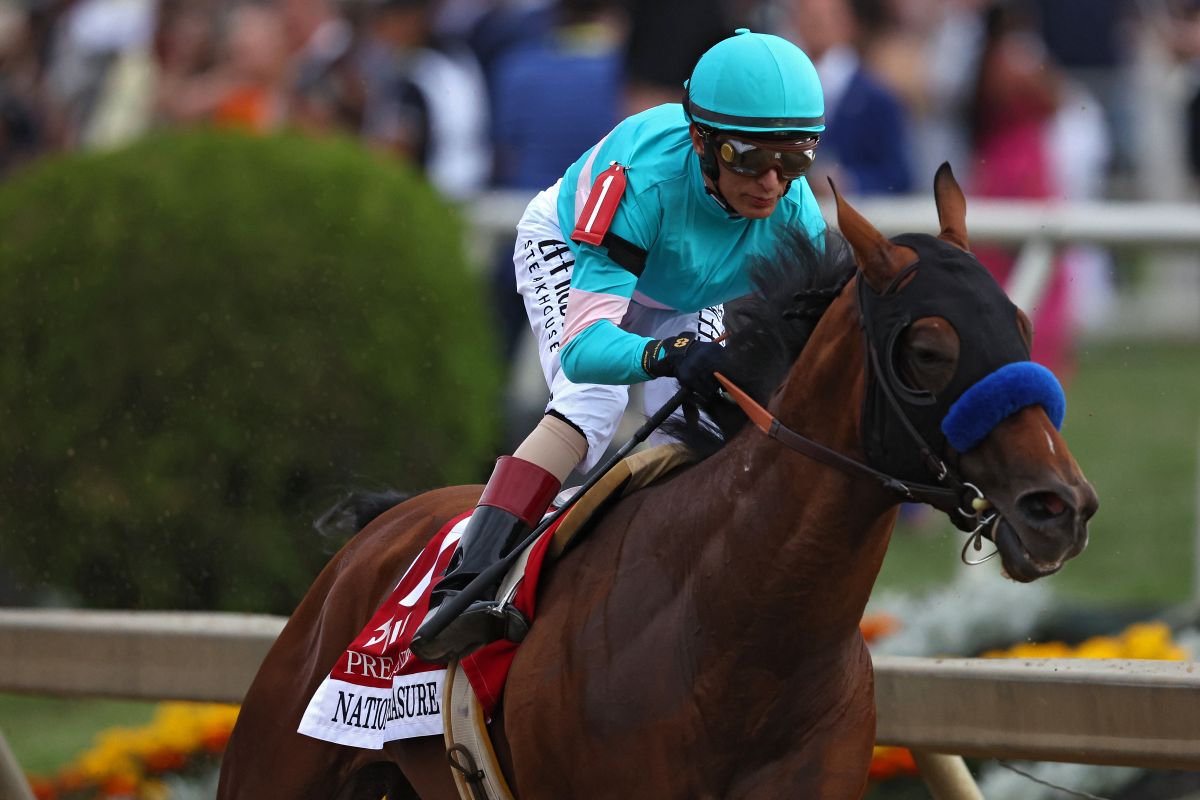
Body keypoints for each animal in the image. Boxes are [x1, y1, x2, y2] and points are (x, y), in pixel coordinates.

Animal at [216, 165, 1099, 796]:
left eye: (1021, 324)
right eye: (928, 350)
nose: (1060, 507)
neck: (739, 633)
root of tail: (385, 525)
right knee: (584, 402)